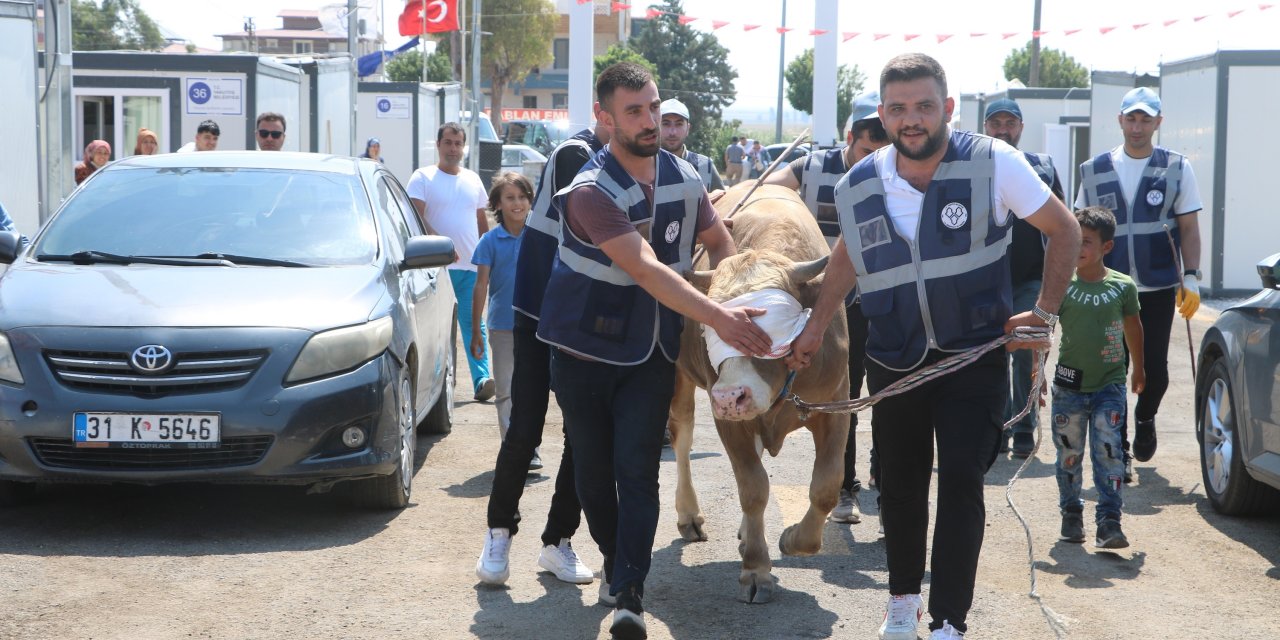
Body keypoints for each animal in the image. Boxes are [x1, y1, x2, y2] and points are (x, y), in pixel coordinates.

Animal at [670, 183, 849, 601]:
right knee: (682, 438)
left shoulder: (836, 404)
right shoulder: (727, 420)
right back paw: (689, 514)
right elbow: (753, 488)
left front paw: (793, 539)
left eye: (764, 323)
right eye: (711, 325)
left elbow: (826, 487)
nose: (729, 397)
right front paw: (756, 569)